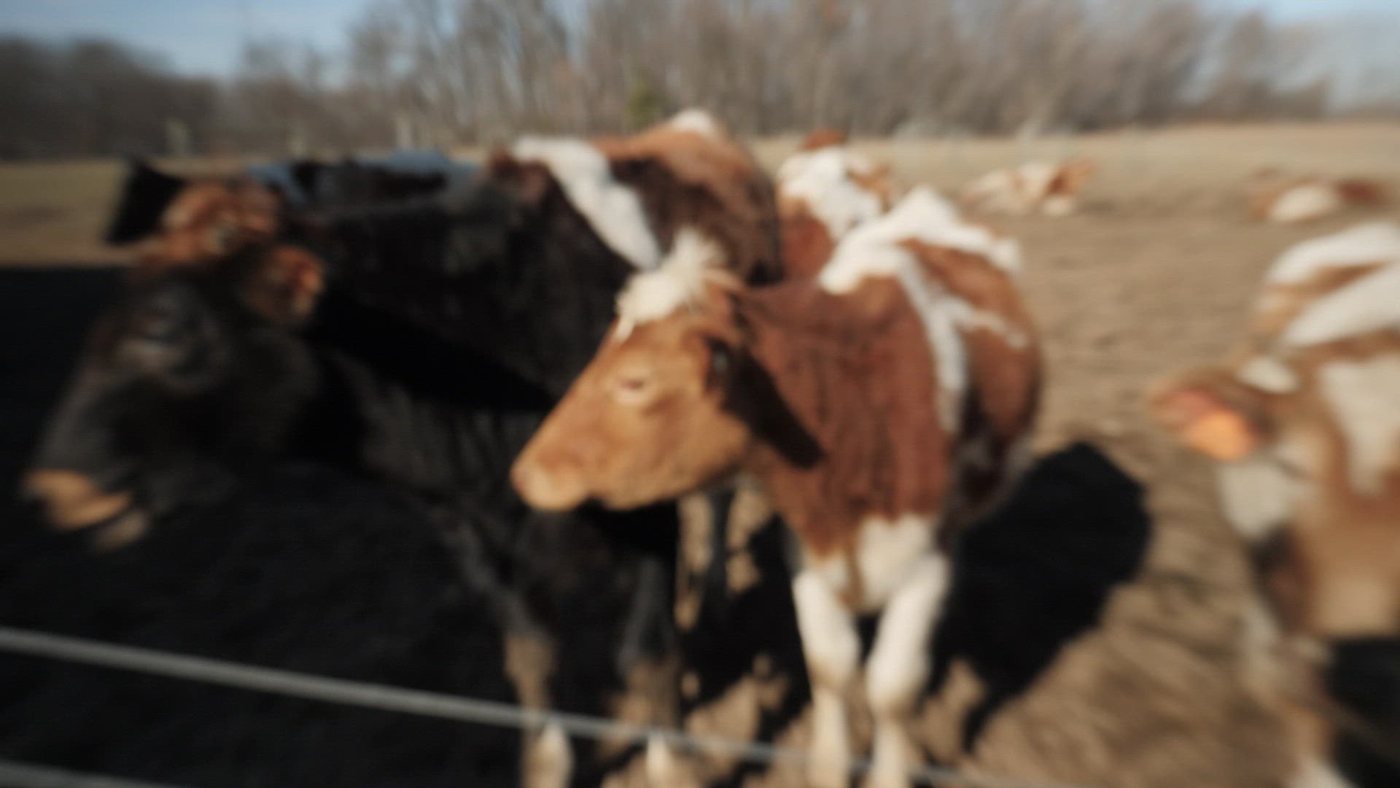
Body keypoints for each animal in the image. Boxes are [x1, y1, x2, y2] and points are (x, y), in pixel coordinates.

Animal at [512, 186, 1040, 787]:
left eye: (635, 381)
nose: (524, 471)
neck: (857, 409)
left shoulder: (923, 562)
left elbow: (893, 689)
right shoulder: (806, 551)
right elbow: (829, 667)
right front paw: (829, 767)